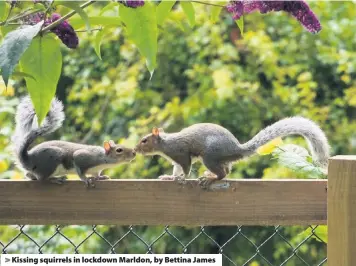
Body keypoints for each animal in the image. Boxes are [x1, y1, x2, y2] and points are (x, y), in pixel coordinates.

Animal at [135, 117, 330, 189]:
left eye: (144, 140)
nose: (136, 149)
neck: (166, 143)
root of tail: (236, 149)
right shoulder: (176, 159)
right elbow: (176, 169)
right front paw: (169, 177)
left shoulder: (181, 153)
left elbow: (186, 168)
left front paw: (181, 178)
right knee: (227, 171)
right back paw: (210, 176)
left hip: (210, 156)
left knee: (223, 174)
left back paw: (211, 178)